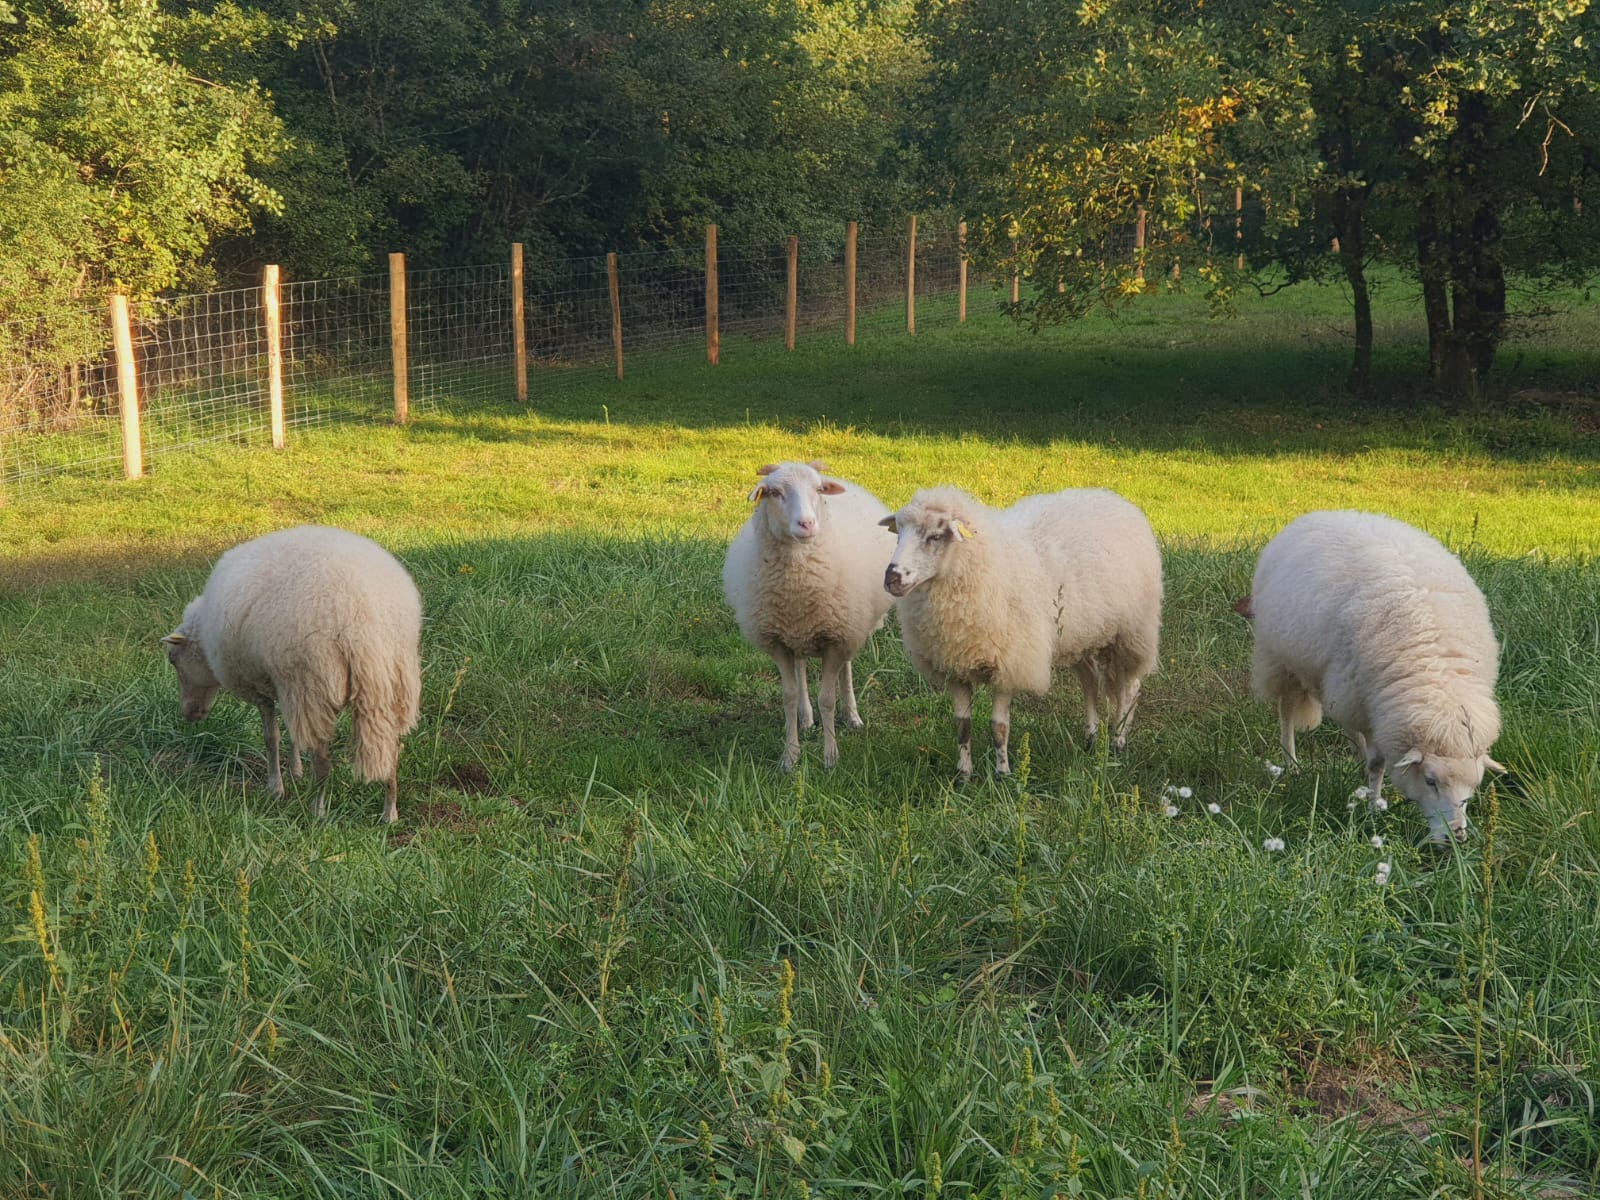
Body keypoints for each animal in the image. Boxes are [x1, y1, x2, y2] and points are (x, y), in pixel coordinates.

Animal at [162, 525, 423, 823]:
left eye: (173, 660)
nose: (190, 715)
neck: (205, 639)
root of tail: (361, 623)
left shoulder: (259, 685)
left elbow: (271, 738)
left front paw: (276, 787)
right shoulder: (282, 683)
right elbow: (291, 734)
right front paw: (295, 770)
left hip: (314, 681)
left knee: (322, 758)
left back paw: (317, 810)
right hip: (395, 682)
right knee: (393, 749)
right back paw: (389, 812)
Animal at [722, 461, 896, 771]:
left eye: (818, 490)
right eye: (774, 492)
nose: (807, 524)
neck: (797, 584)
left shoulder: (836, 639)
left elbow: (827, 698)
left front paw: (830, 757)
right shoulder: (777, 642)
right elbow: (788, 696)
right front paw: (790, 756)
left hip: (849, 626)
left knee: (846, 669)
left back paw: (852, 716)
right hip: (797, 633)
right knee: (801, 668)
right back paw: (806, 717)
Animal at [881, 486, 1163, 779]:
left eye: (935, 536)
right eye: (898, 533)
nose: (891, 578)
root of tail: (1113, 497)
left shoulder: (1010, 664)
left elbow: (999, 727)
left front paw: (1003, 774)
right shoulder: (955, 666)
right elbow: (962, 726)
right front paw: (964, 776)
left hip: (1130, 633)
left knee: (1129, 688)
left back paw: (1118, 741)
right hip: (1081, 637)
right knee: (1090, 682)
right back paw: (1091, 738)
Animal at [1247, 509, 1504, 842]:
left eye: (1473, 786)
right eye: (1430, 781)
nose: (1456, 837)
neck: (1436, 675)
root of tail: (1322, 513)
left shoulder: (1371, 703)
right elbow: (1377, 763)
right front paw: (1374, 807)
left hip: (1339, 683)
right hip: (1283, 660)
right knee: (1287, 710)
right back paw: (1291, 765)